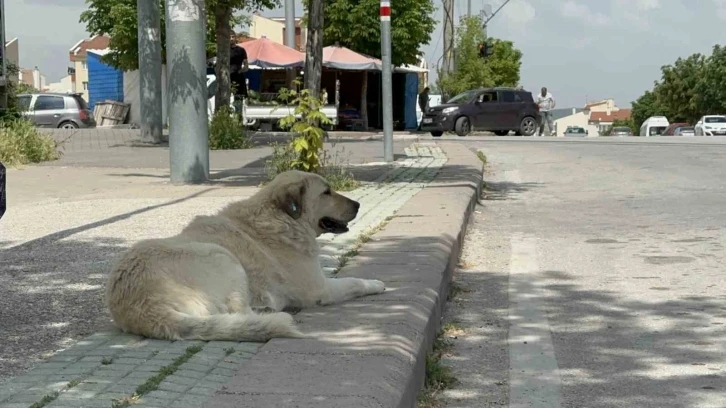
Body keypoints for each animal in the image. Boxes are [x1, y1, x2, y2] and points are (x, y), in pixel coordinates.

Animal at [106, 171, 386, 342]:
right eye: (326, 192)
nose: (358, 205)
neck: (283, 220)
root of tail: (144, 307)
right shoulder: (320, 290)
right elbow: (354, 282)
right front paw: (376, 283)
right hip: (223, 257)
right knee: (240, 312)